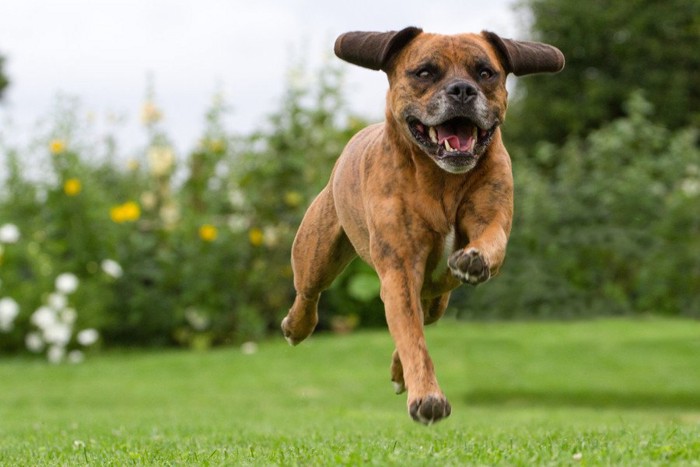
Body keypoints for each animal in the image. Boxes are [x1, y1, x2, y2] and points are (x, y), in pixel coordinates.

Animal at [278, 27, 564, 426]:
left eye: (485, 72)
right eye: (425, 72)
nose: (462, 90)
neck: (441, 179)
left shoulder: (491, 214)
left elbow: (491, 240)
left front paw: (474, 259)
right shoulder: (399, 270)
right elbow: (412, 340)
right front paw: (427, 397)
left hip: (436, 300)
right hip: (316, 253)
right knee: (308, 292)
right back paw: (295, 326)